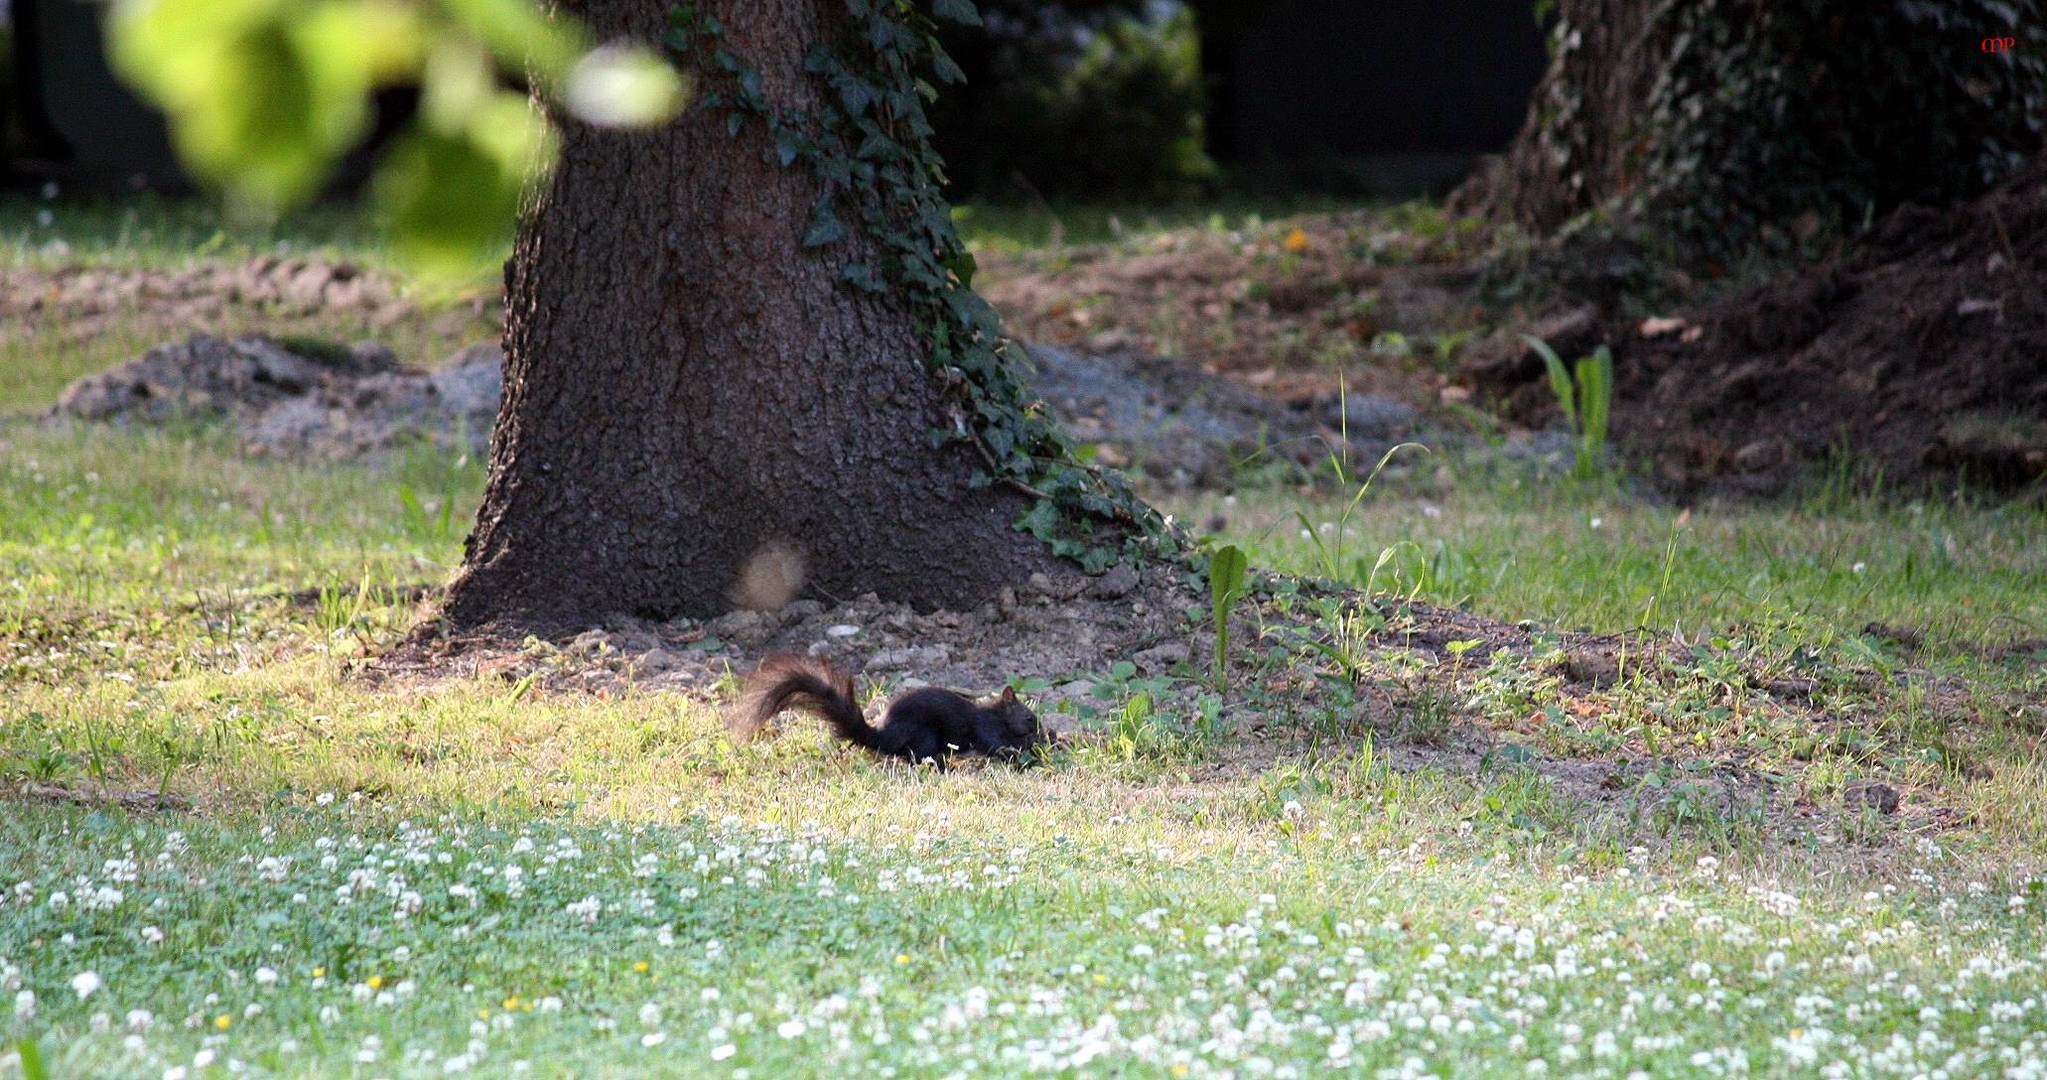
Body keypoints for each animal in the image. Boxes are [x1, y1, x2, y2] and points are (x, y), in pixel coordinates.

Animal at [732, 654, 1048, 765]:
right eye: (1029, 717)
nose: (1042, 732)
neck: (997, 714)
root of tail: (884, 734)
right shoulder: (987, 728)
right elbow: (997, 746)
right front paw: (1026, 749)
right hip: (925, 737)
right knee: (917, 758)